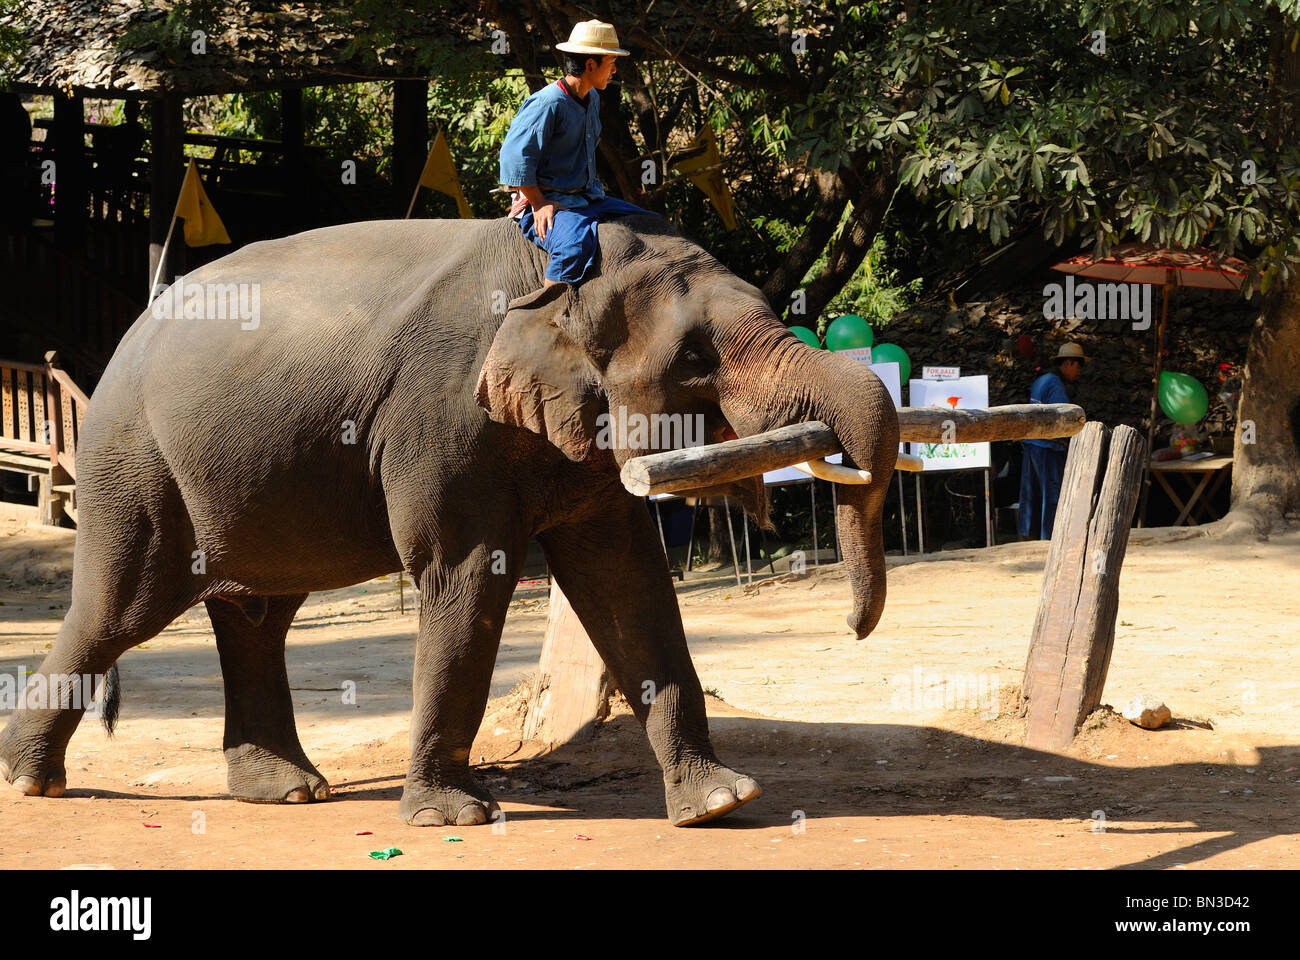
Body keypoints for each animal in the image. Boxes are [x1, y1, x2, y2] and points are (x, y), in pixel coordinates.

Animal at [0, 213, 898, 826]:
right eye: (696, 359)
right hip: (135, 461)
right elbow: (465, 573)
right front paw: (453, 817)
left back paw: (288, 792)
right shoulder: (442, 418)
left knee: (257, 617)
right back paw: (32, 782)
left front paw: (721, 803)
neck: (555, 270)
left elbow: (626, 581)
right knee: (121, 610)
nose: (854, 631)